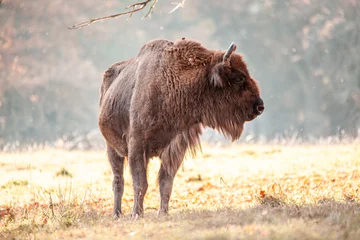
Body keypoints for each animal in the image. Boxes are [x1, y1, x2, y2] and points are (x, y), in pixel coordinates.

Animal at [98, 38, 264, 218]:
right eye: (239, 78)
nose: (259, 106)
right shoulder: (137, 144)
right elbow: (141, 183)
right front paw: (137, 214)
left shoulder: (176, 148)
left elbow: (166, 183)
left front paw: (163, 213)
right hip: (112, 148)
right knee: (118, 180)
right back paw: (117, 213)